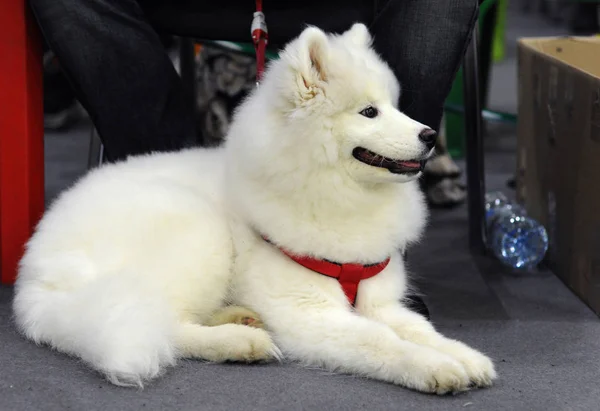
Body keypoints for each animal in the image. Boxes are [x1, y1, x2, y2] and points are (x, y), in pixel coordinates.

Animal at [11, 23, 496, 396]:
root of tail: (36, 276)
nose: (430, 136)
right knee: (162, 322)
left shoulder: (382, 302)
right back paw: (239, 341)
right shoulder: (310, 315)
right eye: (369, 112)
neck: (337, 193)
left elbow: (419, 330)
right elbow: (382, 342)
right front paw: (436, 368)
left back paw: (239, 317)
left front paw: (465, 357)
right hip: (197, 232)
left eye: (396, 106)